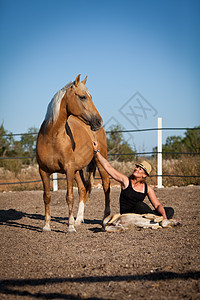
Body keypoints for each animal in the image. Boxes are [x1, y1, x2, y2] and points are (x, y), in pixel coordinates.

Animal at [36, 74, 111, 232]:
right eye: (82, 97)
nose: (98, 121)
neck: (52, 137)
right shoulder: (43, 171)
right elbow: (47, 197)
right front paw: (46, 226)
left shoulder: (68, 170)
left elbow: (69, 197)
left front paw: (70, 227)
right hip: (78, 170)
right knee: (83, 190)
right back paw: (79, 219)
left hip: (100, 162)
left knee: (106, 186)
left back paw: (105, 217)